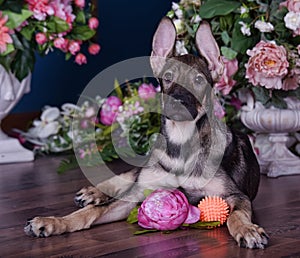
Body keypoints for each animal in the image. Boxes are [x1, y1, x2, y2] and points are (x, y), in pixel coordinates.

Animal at [23, 17, 268, 248]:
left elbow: (236, 215)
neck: (181, 143)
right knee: (126, 177)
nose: (177, 102)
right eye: (168, 77)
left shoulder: (236, 196)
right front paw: (53, 222)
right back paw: (92, 193)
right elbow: (91, 212)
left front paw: (247, 230)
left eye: (198, 80)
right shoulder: (137, 195)